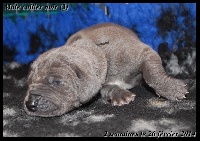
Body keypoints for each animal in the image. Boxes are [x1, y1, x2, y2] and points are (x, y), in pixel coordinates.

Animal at [23, 22, 188, 117]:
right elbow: (106, 88)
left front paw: (173, 89)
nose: (30, 104)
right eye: (29, 82)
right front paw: (121, 95)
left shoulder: (142, 52)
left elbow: (151, 71)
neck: (99, 49)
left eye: (57, 82)